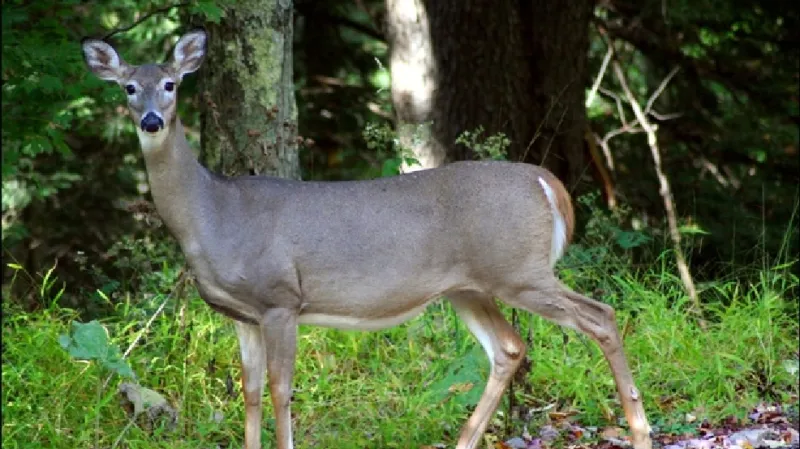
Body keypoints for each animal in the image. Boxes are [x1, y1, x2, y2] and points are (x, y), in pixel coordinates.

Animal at [81, 28, 652, 449]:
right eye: (128, 87)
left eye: (172, 83)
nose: (151, 120)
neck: (213, 214)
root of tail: (547, 182)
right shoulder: (241, 314)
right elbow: (251, 391)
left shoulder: (281, 298)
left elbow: (281, 390)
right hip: (470, 287)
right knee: (510, 348)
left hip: (518, 270)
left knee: (600, 316)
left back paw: (640, 432)